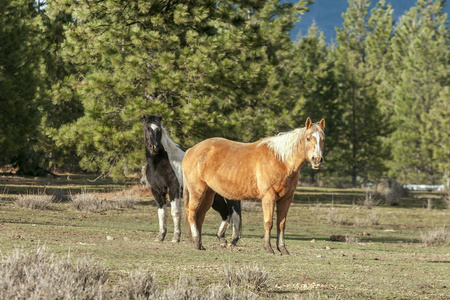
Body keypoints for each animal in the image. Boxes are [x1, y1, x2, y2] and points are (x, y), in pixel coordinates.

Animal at [144, 115, 243, 246]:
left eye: (159, 130)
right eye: (146, 129)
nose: (154, 147)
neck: (163, 163)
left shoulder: (174, 190)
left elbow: (175, 213)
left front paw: (176, 237)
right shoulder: (157, 191)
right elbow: (162, 214)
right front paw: (160, 236)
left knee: (234, 213)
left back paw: (231, 239)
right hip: (215, 196)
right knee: (225, 213)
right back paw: (221, 238)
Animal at [183, 118, 324, 254]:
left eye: (322, 139)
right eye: (308, 138)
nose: (317, 159)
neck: (280, 160)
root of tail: (191, 150)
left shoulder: (286, 199)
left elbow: (281, 224)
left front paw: (283, 249)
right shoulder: (268, 196)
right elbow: (268, 222)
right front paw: (268, 248)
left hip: (209, 194)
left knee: (200, 215)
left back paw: (200, 244)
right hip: (198, 191)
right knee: (191, 212)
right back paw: (196, 242)